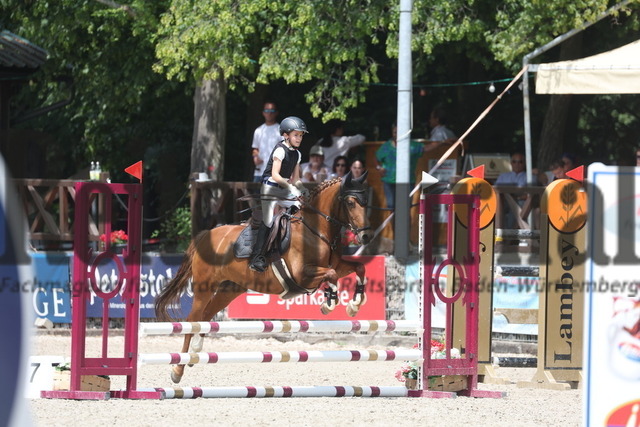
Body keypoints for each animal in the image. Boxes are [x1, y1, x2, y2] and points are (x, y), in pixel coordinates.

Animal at [155, 171, 372, 384]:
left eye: (366, 202)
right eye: (350, 202)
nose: (366, 237)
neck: (315, 231)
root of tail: (205, 235)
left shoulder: (337, 265)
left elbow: (358, 267)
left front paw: (354, 305)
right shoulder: (302, 274)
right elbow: (331, 275)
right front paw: (329, 303)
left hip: (230, 289)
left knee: (206, 316)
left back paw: (195, 353)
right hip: (205, 286)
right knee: (193, 320)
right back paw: (178, 369)